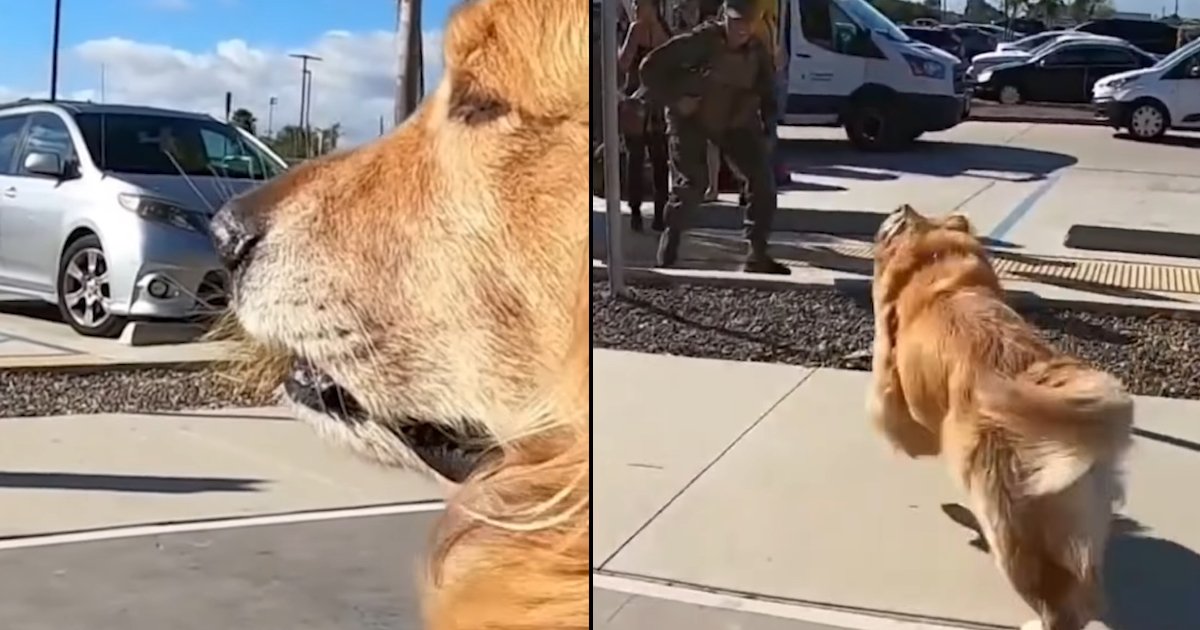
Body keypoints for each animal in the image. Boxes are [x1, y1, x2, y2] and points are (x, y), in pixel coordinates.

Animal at [868, 205, 1128, 628]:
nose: (898, 206)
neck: (935, 260)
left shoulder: (895, 389)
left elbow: (892, 414)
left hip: (1007, 524)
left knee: (1055, 604)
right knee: (1088, 593)